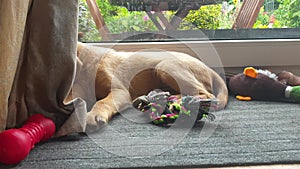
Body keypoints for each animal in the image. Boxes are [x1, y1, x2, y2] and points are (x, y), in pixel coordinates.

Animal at [72, 42, 227, 132]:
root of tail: (208, 68)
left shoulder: (119, 91)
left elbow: (102, 102)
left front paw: (93, 116)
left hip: (166, 65)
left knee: (206, 94)